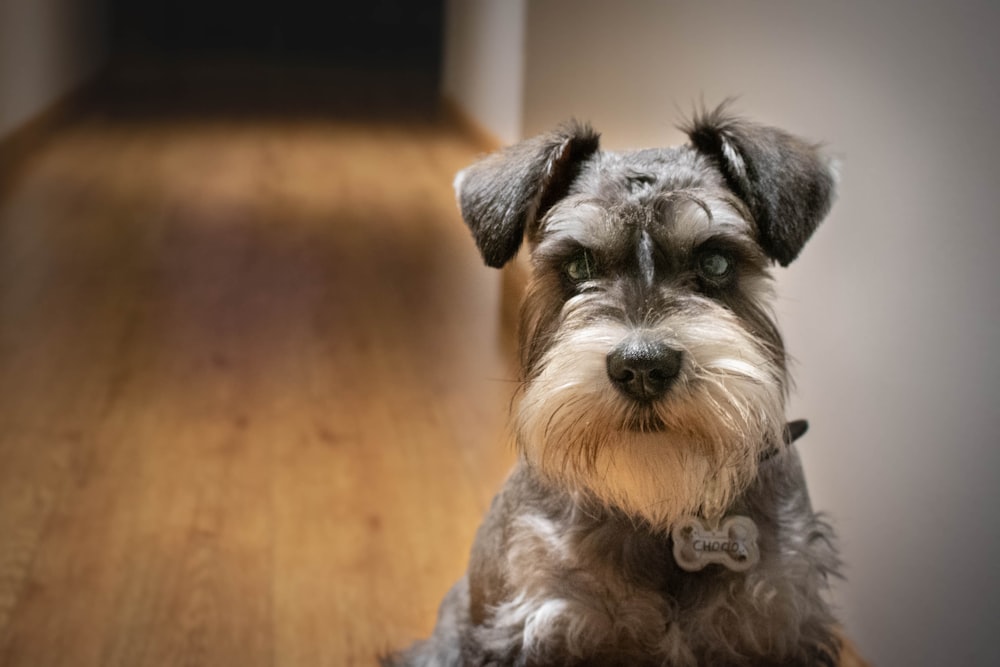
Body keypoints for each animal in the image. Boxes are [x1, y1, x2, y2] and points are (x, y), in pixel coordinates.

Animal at [386, 107, 840, 664]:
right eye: (578, 264)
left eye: (715, 261)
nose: (643, 366)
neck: (658, 508)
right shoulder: (536, 620)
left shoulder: (779, 619)